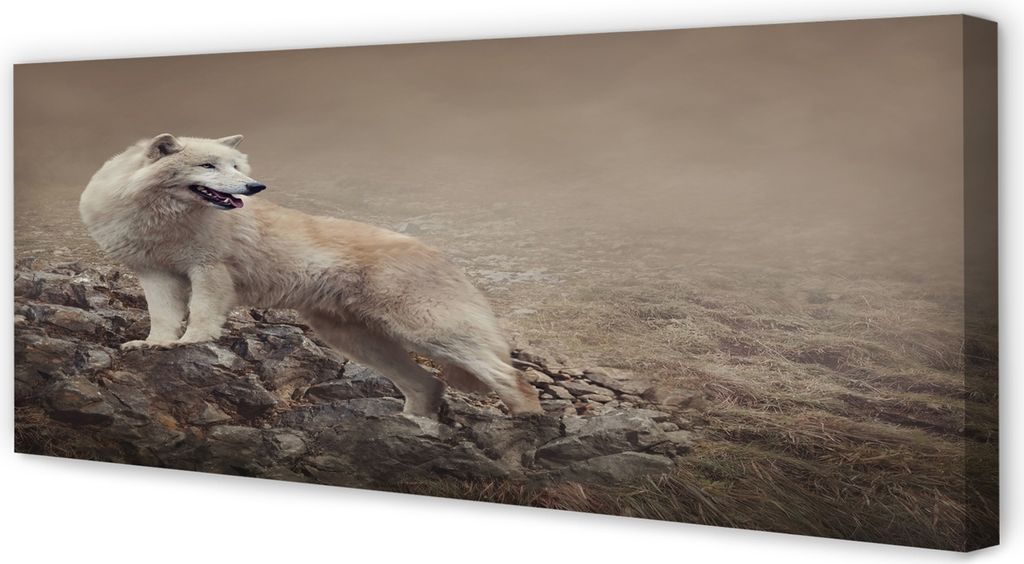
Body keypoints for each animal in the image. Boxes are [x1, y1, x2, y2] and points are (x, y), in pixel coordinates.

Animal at [79, 133, 542, 417]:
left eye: (236, 165)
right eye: (209, 166)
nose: (255, 187)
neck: (162, 218)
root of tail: (443, 255)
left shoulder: (208, 271)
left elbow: (201, 316)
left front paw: (191, 343)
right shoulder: (155, 274)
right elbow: (162, 318)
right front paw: (155, 345)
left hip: (428, 333)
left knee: (512, 378)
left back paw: (527, 421)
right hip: (359, 342)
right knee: (428, 385)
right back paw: (414, 427)